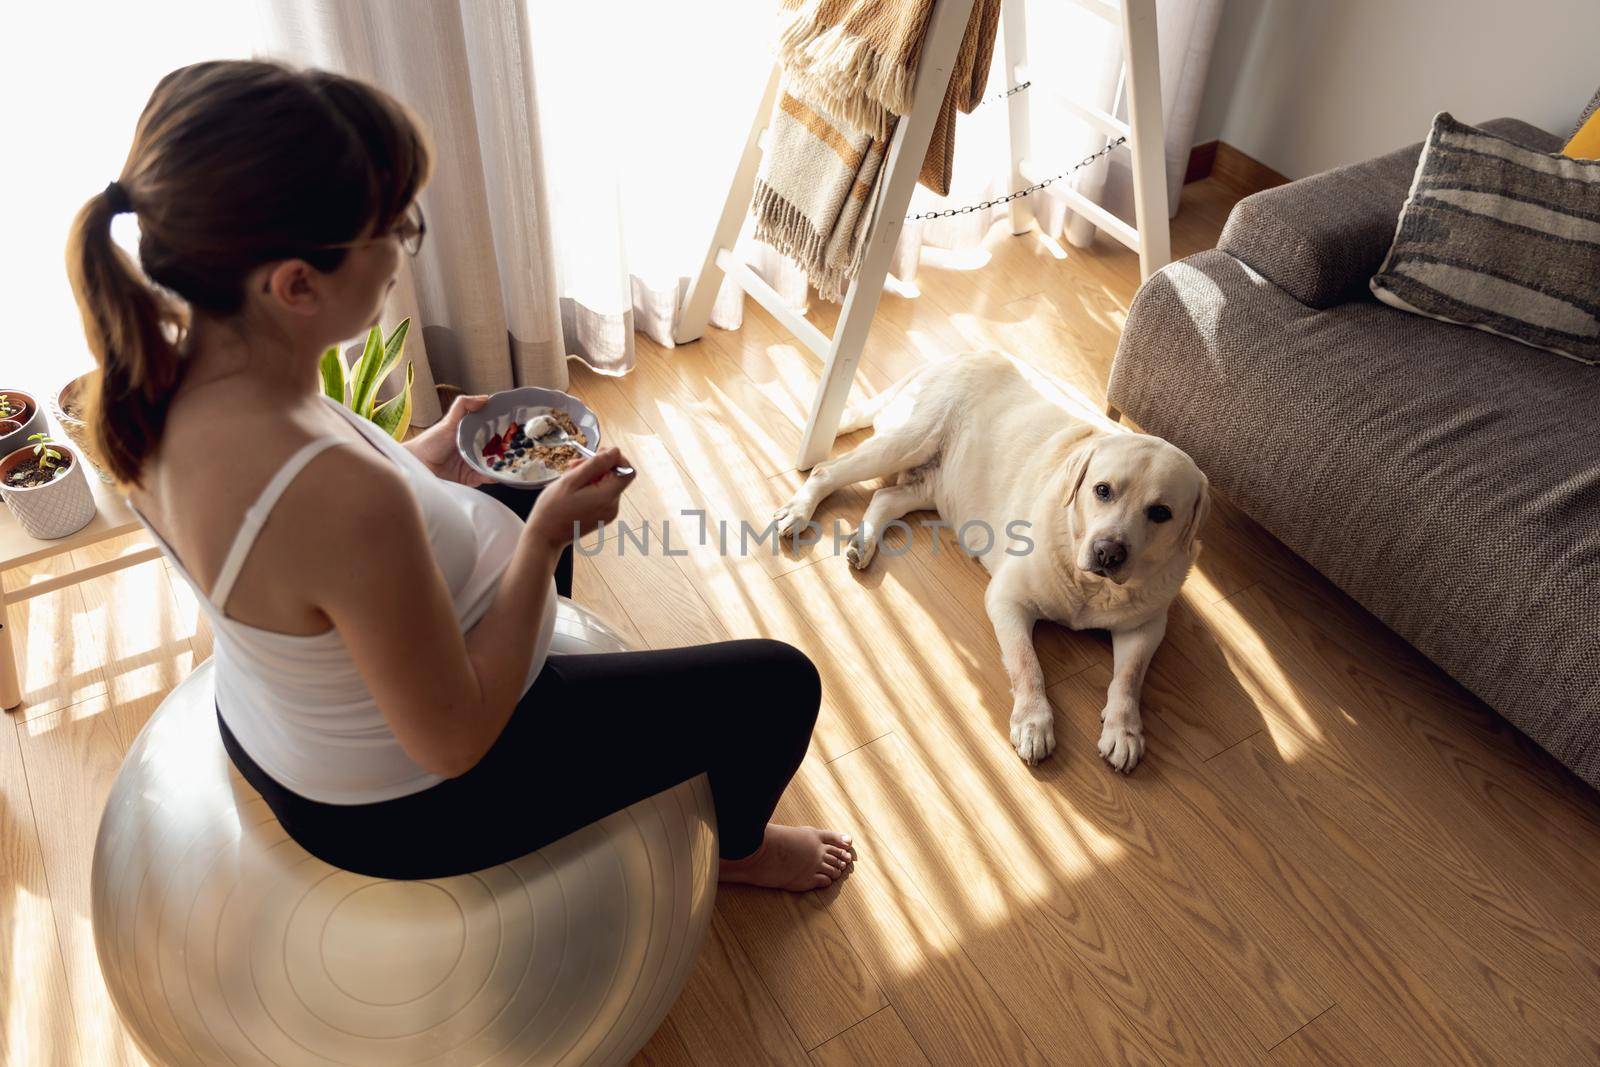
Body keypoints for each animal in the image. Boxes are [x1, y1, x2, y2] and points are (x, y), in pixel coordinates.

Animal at [768, 355, 1203, 771]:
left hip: (936, 486)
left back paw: (863, 541)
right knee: (827, 471)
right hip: (909, 441)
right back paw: (798, 512)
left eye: (1161, 513)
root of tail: (963, 352)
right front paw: (1033, 722)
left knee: (885, 498)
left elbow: (1129, 678)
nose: (1108, 552)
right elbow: (1027, 664)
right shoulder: (1007, 599)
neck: (1091, 588)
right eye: (1102, 490)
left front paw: (1124, 730)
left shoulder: (1146, 626)